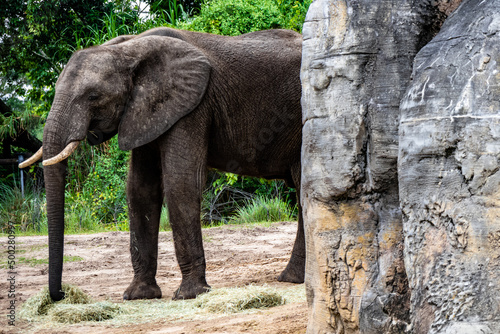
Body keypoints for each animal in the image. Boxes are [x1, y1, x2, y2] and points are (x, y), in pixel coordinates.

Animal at [20, 27, 304, 302]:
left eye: (93, 96)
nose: (61, 294)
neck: (128, 49)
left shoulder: (192, 106)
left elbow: (180, 182)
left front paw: (189, 294)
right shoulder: (145, 112)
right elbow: (140, 189)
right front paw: (138, 295)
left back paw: (293, 279)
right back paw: (291, 278)